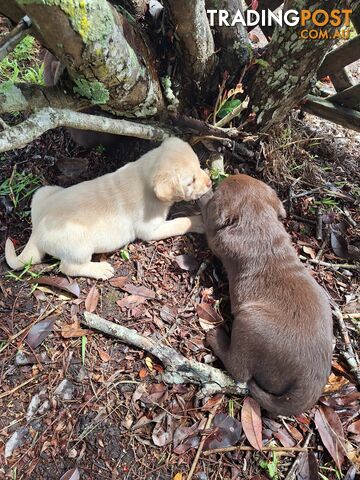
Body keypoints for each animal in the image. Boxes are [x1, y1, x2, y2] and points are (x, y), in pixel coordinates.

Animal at [5, 137, 211, 280]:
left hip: (44, 191)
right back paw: (100, 269)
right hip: (79, 243)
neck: (144, 176)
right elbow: (179, 223)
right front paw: (199, 221)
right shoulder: (150, 230)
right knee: (68, 268)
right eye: (190, 182)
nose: (210, 183)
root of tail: (36, 232)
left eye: (199, 166)